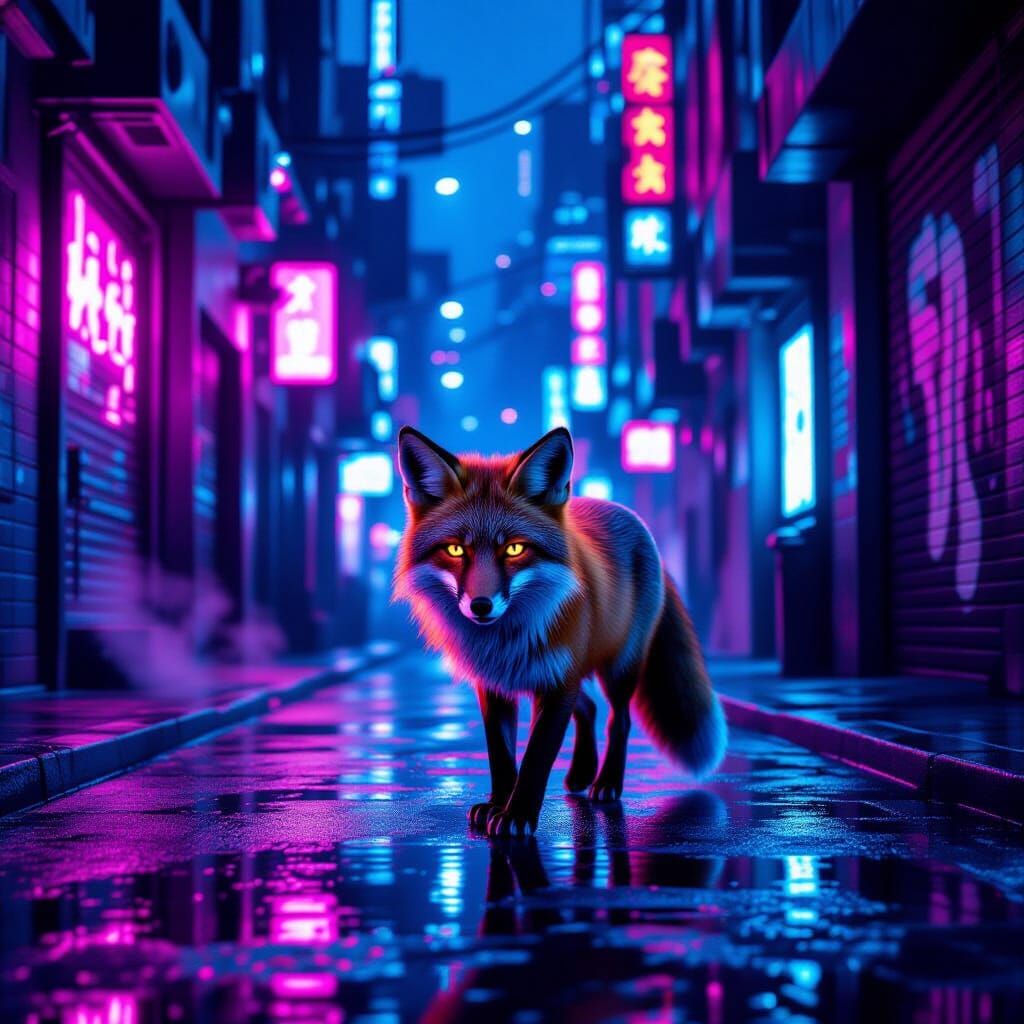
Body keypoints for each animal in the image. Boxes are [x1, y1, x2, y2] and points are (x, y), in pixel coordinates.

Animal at [393, 424, 727, 837]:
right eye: (455, 550)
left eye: (514, 549)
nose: (481, 606)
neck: (505, 641)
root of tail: (634, 520)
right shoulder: (495, 684)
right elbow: (501, 756)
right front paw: (497, 804)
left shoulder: (556, 683)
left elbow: (537, 755)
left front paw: (517, 816)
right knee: (589, 706)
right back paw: (582, 772)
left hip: (618, 667)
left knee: (619, 718)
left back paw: (607, 782)